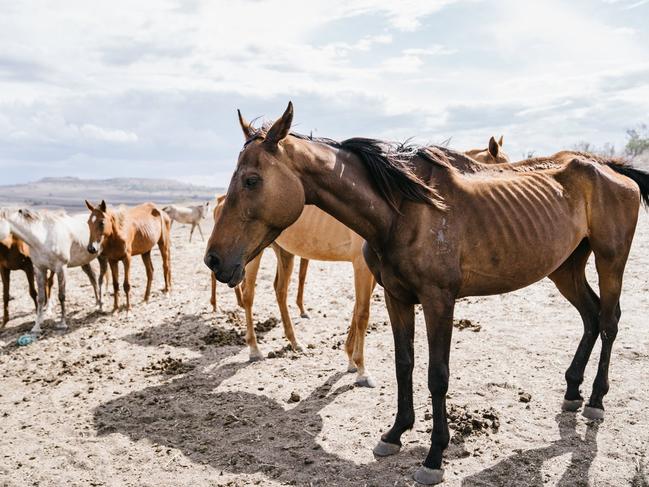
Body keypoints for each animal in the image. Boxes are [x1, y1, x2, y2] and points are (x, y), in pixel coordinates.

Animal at [205, 103, 648, 484]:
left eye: (251, 180)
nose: (214, 260)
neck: (404, 211)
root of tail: (613, 171)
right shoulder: (397, 297)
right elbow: (404, 364)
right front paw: (395, 433)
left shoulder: (439, 301)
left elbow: (437, 375)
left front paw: (434, 456)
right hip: (565, 268)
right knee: (590, 316)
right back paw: (572, 391)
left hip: (610, 261)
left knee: (609, 321)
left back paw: (595, 400)